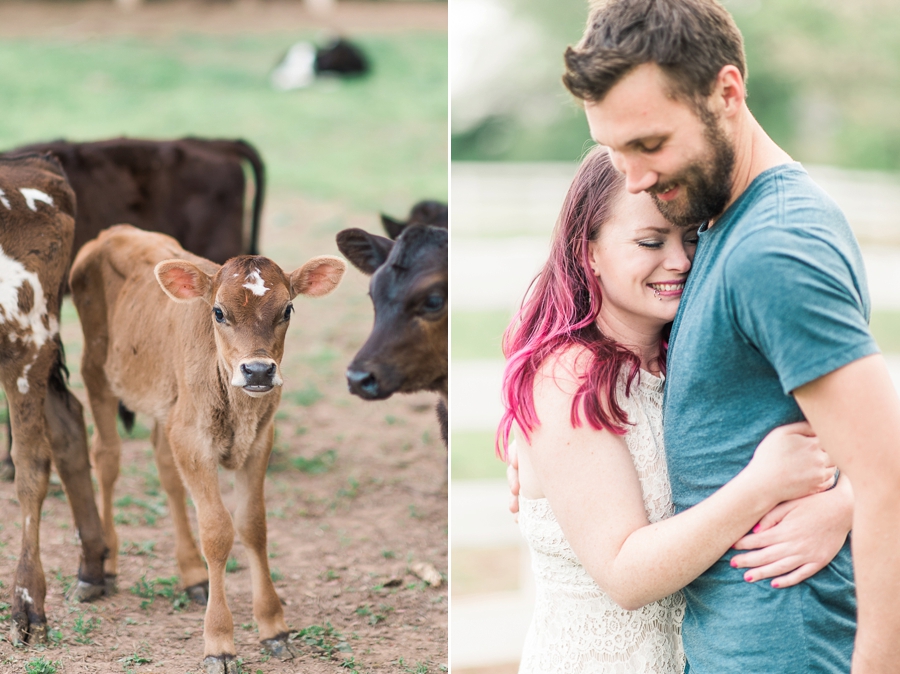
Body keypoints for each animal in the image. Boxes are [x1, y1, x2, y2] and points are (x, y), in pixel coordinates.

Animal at [68, 224, 344, 668]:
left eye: (287, 310)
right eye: (218, 312)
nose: (258, 371)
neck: (238, 408)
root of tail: (113, 232)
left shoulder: (259, 440)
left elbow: (253, 525)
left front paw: (273, 627)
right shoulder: (194, 441)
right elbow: (216, 531)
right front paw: (219, 641)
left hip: (167, 407)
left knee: (165, 468)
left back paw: (192, 575)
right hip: (97, 372)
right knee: (107, 457)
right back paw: (103, 566)